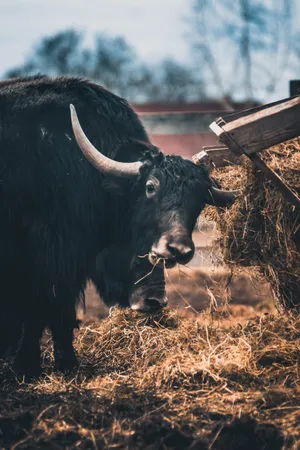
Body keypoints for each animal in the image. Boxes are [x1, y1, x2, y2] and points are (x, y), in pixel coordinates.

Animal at [0, 76, 236, 376]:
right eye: (150, 187)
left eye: (199, 201)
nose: (179, 249)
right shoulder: (45, 256)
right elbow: (43, 310)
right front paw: (30, 366)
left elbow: (58, 311)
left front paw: (65, 364)